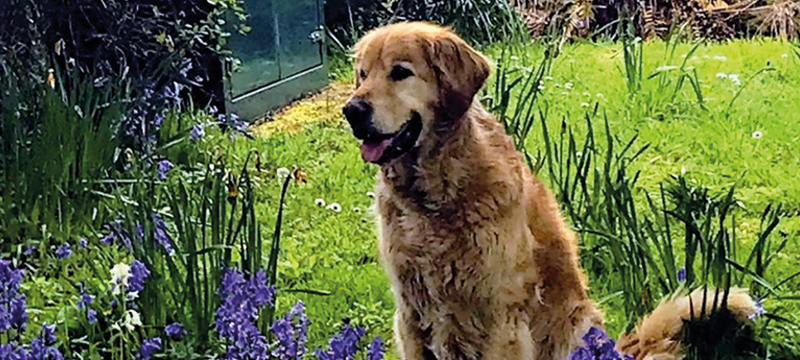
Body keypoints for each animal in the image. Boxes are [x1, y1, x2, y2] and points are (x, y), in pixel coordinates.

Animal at [344, 21, 756, 358]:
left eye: (400, 72)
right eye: (362, 75)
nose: (352, 110)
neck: (432, 198)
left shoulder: (500, 316)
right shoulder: (411, 314)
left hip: (574, 325)